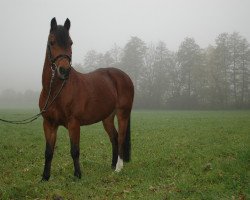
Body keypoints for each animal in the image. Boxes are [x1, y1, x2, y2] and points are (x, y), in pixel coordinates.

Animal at [39, 18, 134, 180]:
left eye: (71, 43)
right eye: (52, 42)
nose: (64, 70)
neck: (56, 92)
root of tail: (125, 76)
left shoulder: (73, 123)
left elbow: (74, 150)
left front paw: (77, 175)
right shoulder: (49, 124)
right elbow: (48, 152)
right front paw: (45, 177)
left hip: (123, 114)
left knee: (120, 138)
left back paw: (118, 168)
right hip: (107, 118)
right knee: (114, 137)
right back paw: (112, 164)